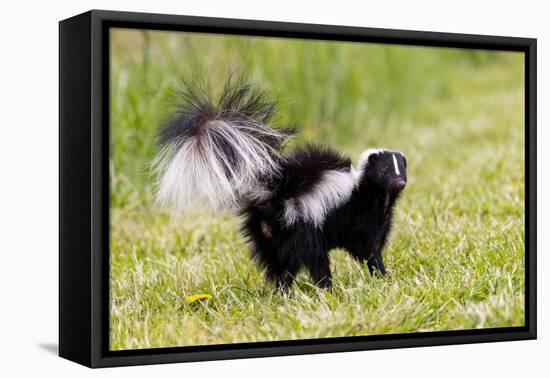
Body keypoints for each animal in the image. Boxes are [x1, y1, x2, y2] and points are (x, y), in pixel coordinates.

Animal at [153, 75, 408, 290]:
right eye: (385, 171)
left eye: (403, 169)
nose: (400, 182)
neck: (373, 195)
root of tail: (276, 196)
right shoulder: (359, 219)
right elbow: (367, 251)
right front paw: (383, 276)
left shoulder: (379, 220)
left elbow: (372, 247)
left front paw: (382, 276)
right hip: (302, 227)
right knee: (314, 261)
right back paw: (326, 288)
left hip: (267, 236)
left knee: (280, 266)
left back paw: (284, 292)